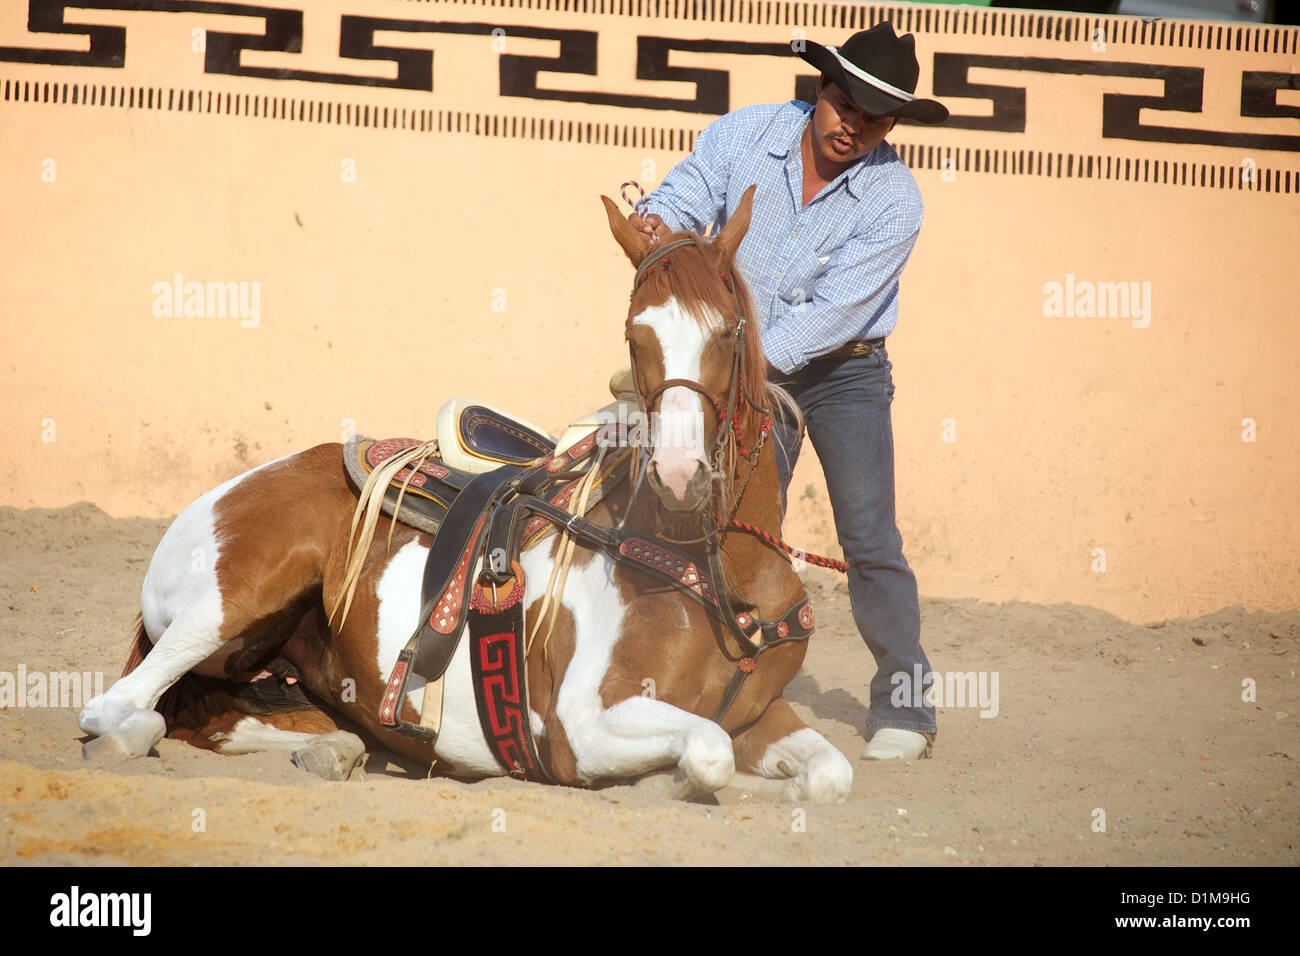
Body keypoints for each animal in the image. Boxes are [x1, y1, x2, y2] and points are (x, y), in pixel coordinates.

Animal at [76, 185, 854, 803]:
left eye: (727, 331)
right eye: (636, 337)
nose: (679, 472)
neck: (719, 576)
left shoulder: (765, 713)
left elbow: (829, 774)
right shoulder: (581, 726)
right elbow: (707, 751)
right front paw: (672, 782)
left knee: (228, 717)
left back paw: (334, 749)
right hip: (231, 601)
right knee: (121, 708)